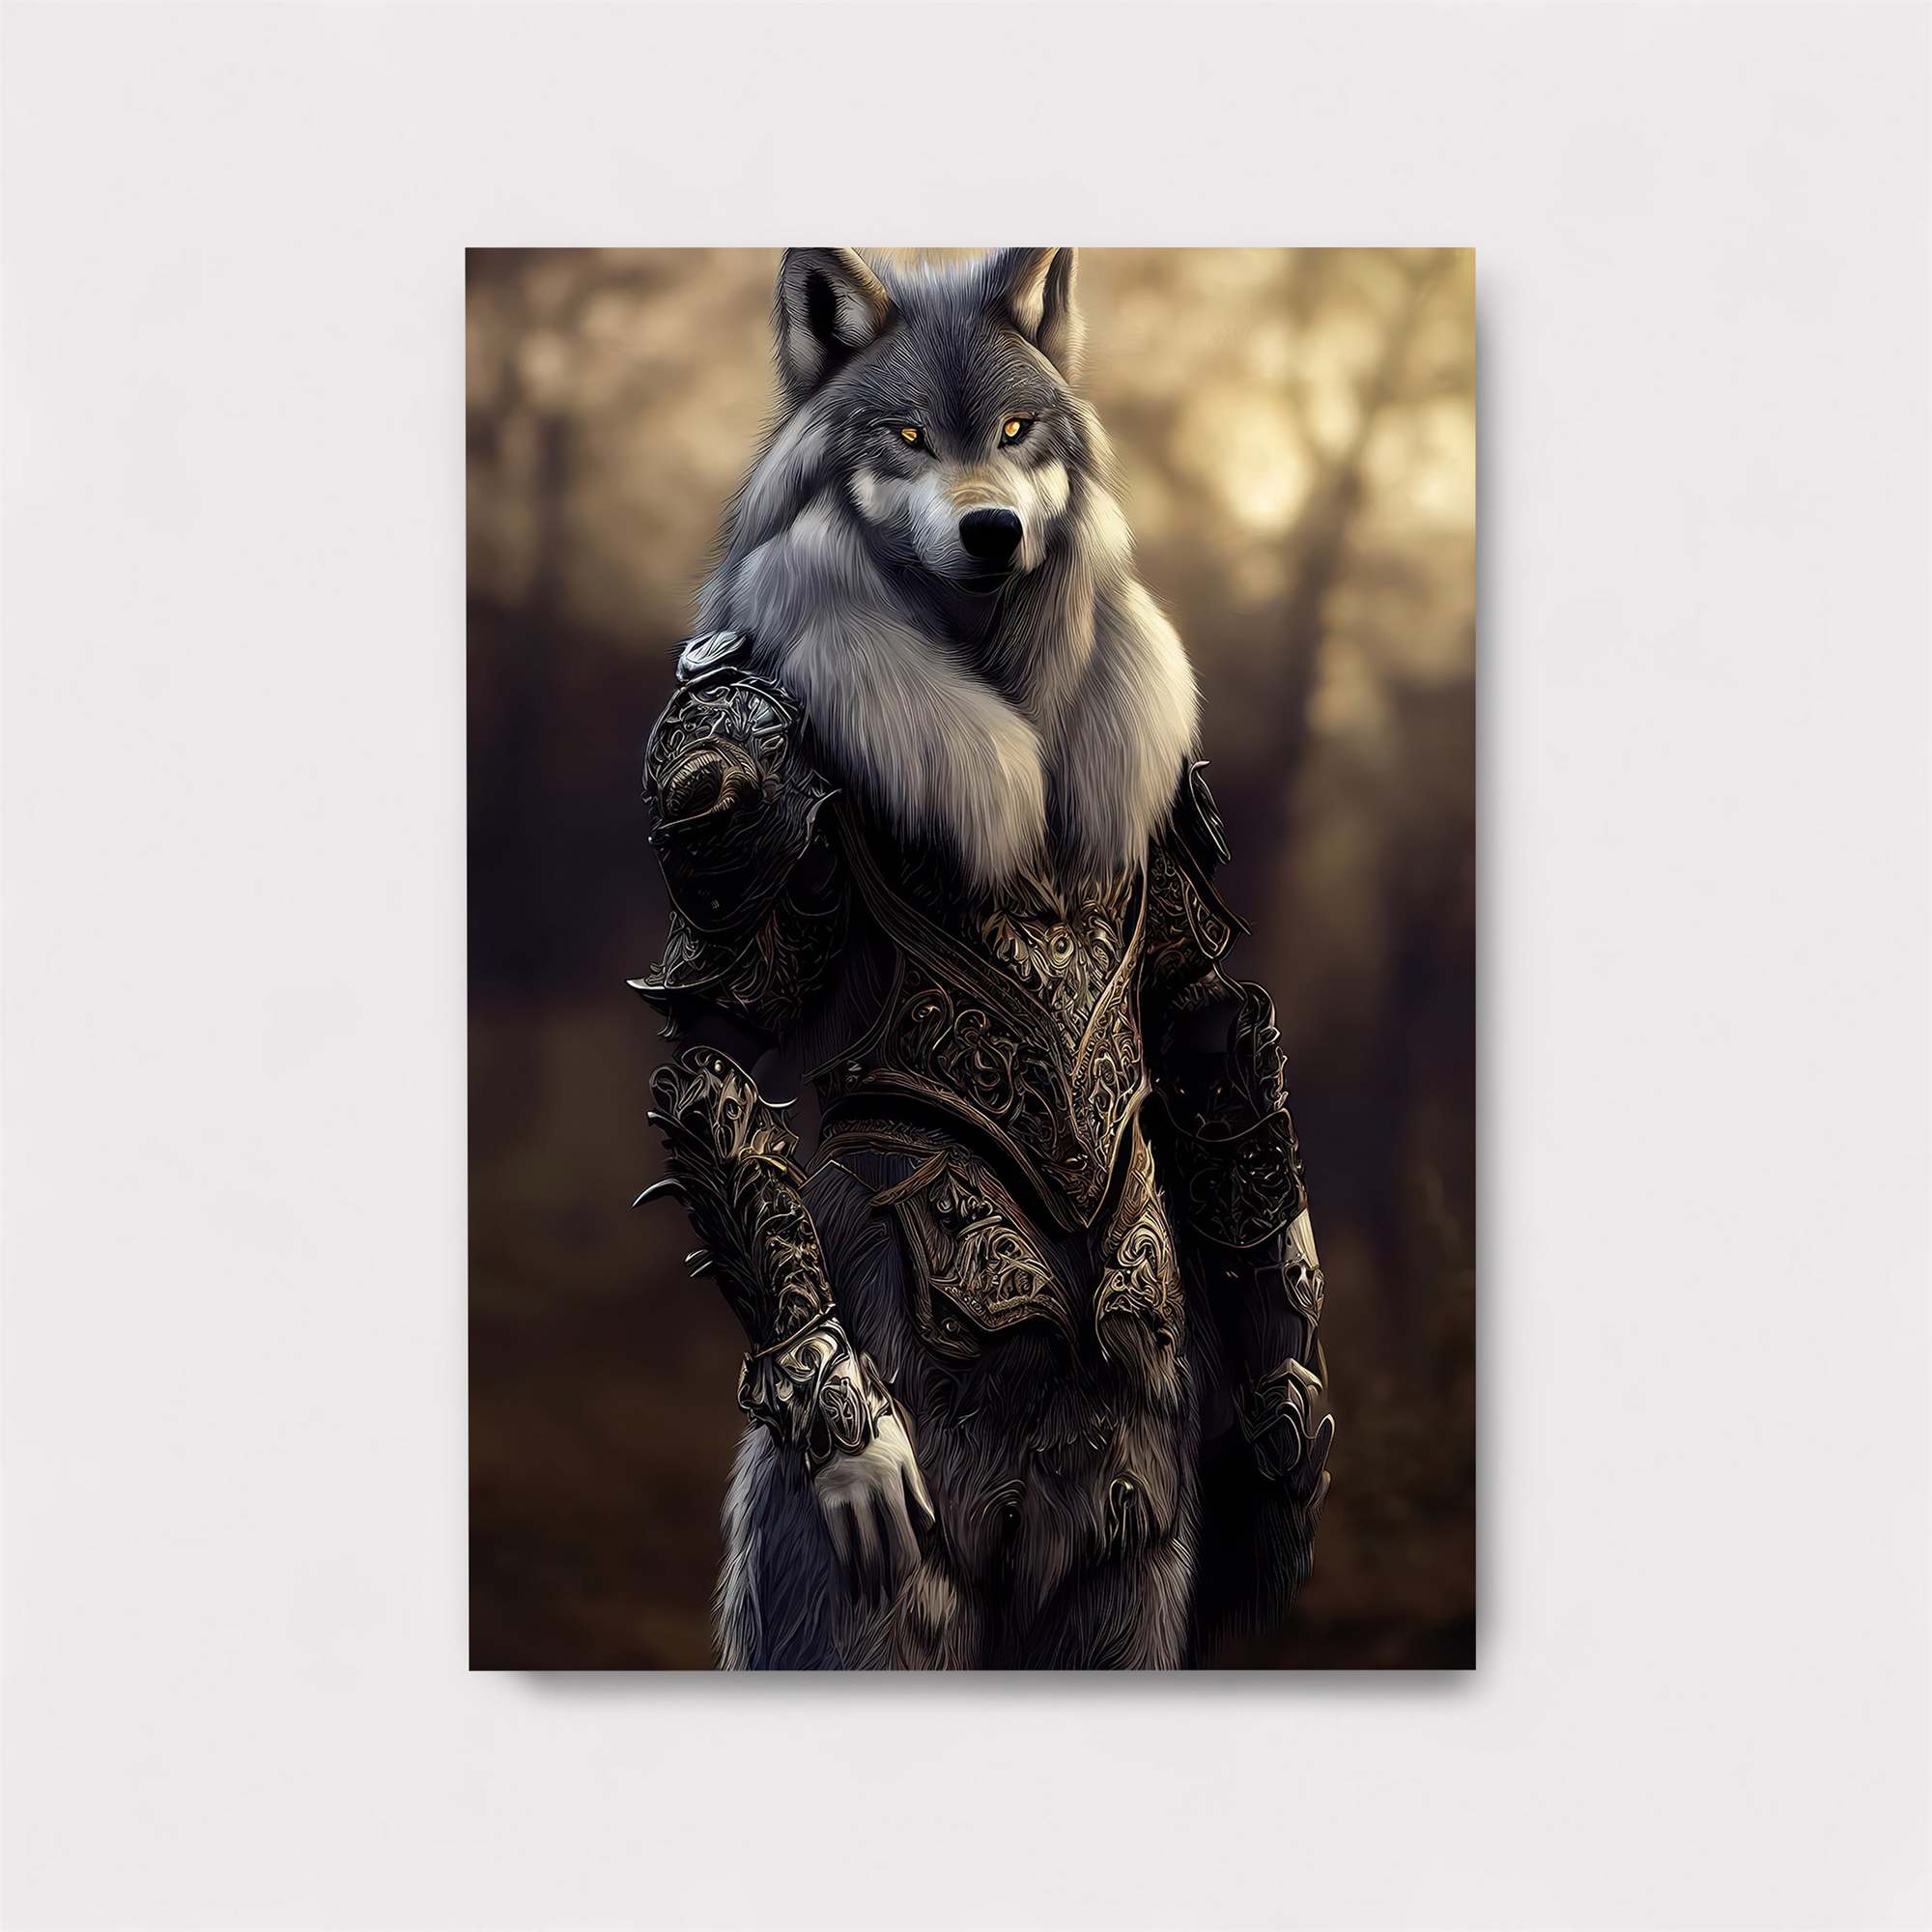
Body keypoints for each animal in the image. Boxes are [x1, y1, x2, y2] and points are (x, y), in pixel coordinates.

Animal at [637, 248, 1332, 1668]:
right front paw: (847, 1433)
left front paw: (1287, 1425)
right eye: (906, 437)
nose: (994, 530)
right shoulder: (729, 741)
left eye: (1017, 432)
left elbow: (1205, 1012)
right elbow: (715, 1051)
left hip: (1128, 1554)